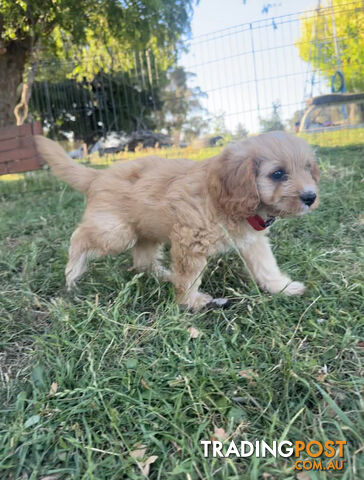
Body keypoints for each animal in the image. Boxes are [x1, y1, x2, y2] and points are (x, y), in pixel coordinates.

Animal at [34, 131, 318, 312]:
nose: (310, 197)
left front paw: (283, 287)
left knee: (143, 261)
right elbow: (189, 276)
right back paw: (72, 274)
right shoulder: (190, 241)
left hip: (146, 232)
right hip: (116, 233)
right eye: (277, 174)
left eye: (308, 168)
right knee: (79, 238)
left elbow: (266, 266)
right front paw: (190, 302)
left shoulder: (252, 241)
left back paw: (164, 275)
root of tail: (97, 176)